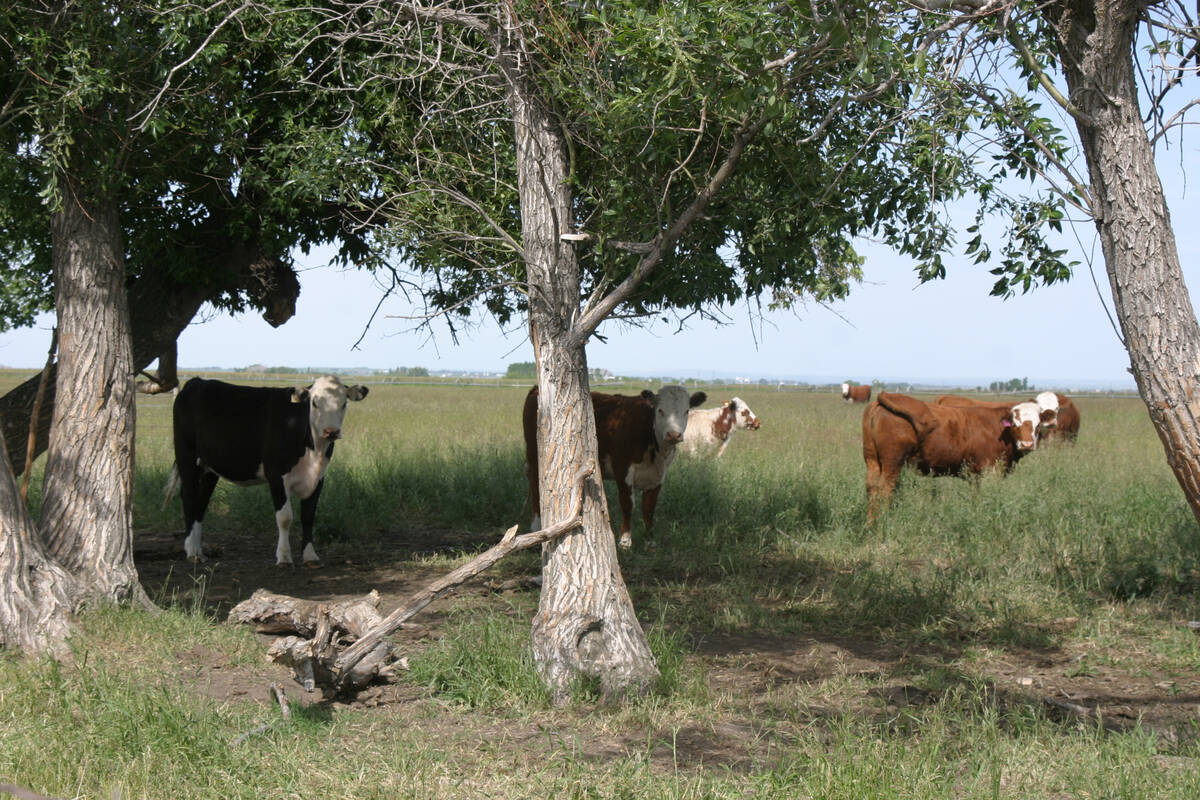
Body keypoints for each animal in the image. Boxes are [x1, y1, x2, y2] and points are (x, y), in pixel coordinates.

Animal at [165, 375, 369, 566]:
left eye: (344, 404)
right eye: (314, 403)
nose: (331, 431)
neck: (314, 451)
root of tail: (197, 381)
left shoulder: (318, 478)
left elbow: (308, 516)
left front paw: (310, 556)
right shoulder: (276, 474)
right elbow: (285, 517)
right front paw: (284, 557)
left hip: (209, 468)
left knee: (201, 502)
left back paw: (198, 550)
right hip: (187, 457)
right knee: (189, 498)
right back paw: (192, 551)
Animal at [523, 384, 706, 548]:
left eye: (686, 411)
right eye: (660, 410)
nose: (673, 434)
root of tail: (535, 389)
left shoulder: (658, 477)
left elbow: (649, 508)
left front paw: (650, 541)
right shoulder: (623, 470)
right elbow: (628, 504)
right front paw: (625, 541)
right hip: (534, 455)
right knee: (534, 485)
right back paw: (536, 525)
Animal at [862, 392, 1042, 522]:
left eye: (1038, 424)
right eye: (1015, 424)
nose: (1027, 444)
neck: (998, 429)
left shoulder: (975, 475)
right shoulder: (990, 472)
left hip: (872, 459)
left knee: (872, 487)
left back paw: (871, 523)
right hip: (892, 462)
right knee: (885, 489)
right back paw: (883, 522)